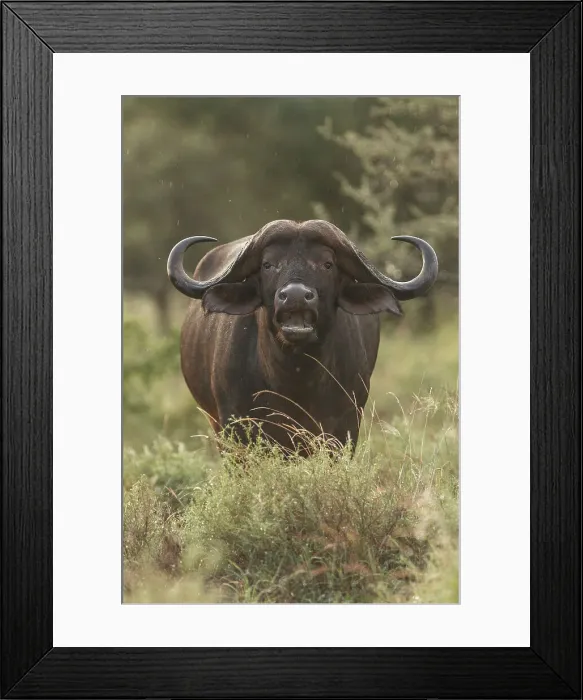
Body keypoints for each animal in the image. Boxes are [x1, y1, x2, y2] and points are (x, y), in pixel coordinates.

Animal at [167, 219, 438, 453]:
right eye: (268, 264)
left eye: (327, 264)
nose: (295, 295)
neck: (295, 380)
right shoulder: (233, 426)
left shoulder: (345, 427)